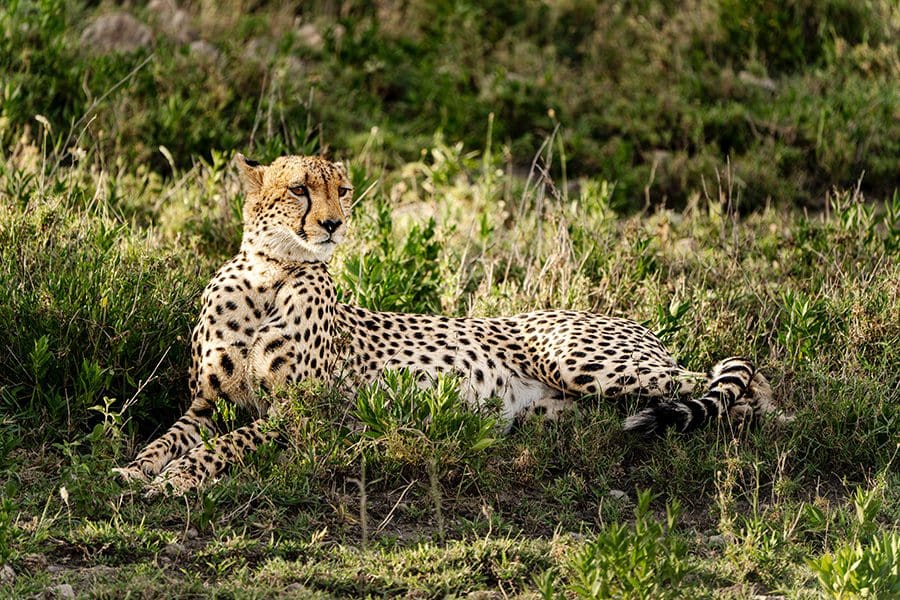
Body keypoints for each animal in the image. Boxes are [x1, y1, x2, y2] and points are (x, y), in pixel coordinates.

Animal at [116, 152, 780, 494]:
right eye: (301, 189)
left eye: (343, 190)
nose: (333, 224)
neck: (269, 275)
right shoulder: (209, 404)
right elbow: (169, 438)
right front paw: (135, 468)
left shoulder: (304, 414)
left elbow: (223, 447)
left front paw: (176, 481)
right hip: (567, 408)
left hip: (586, 362)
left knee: (723, 380)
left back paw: (751, 417)